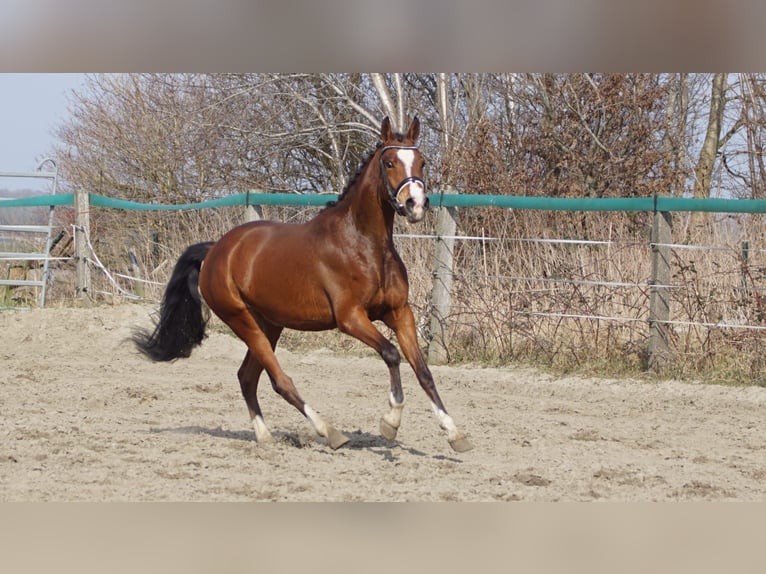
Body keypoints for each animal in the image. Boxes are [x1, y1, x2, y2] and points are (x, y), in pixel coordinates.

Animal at [133, 117, 474, 454]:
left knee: (247, 377)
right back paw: (329, 432)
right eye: (389, 162)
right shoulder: (350, 318)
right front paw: (390, 422)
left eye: (422, 162)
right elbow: (391, 354)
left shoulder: (399, 312)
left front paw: (454, 433)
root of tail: (216, 249)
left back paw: (265, 437)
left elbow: (423, 370)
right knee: (279, 380)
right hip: (242, 321)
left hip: (269, 325)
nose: (415, 204)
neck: (364, 244)